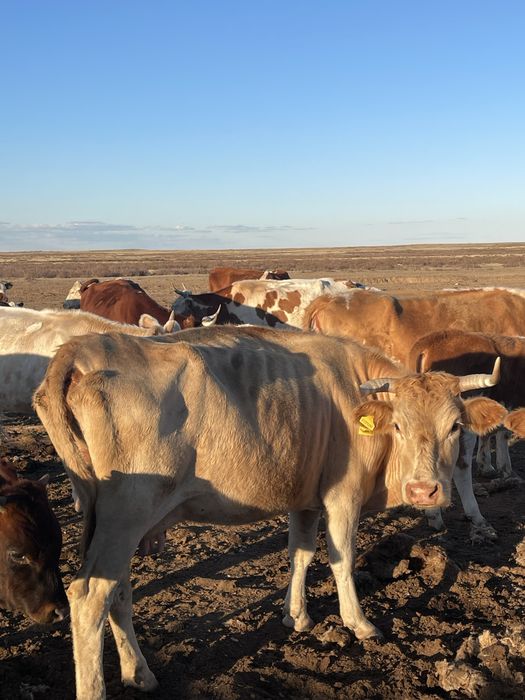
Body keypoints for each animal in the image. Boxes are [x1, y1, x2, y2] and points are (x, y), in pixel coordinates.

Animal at [33, 325, 505, 698]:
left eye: (455, 426)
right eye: (399, 426)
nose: (424, 490)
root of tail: (87, 346)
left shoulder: (306, 499)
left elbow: (301, 554)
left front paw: (296, 615)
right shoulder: (343, 497)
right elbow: (342, 560)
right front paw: (358, 623)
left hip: (110, 519)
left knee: (119, 592)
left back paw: (139, 672)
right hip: (126, 515)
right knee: (90, 597)